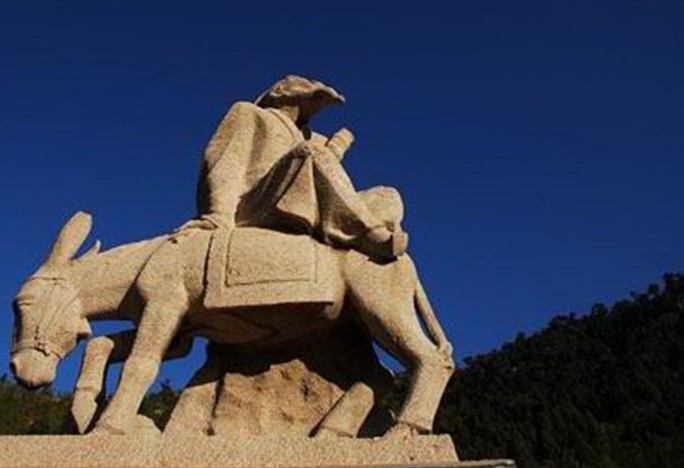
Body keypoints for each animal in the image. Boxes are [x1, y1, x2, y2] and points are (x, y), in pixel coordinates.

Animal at [10, 212, 454, 437]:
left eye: (21, 304)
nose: (18, 372)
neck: (143, 264)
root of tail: (406, 262)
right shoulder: (181, 331)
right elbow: (102, 346)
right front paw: (85, 409)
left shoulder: (164, 305)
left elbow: (140, 365)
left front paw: (109, 428)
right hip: (346, 328)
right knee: (380, 375)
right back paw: (332, 433)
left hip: (380, 305)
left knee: (430, 361)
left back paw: (403, 432)